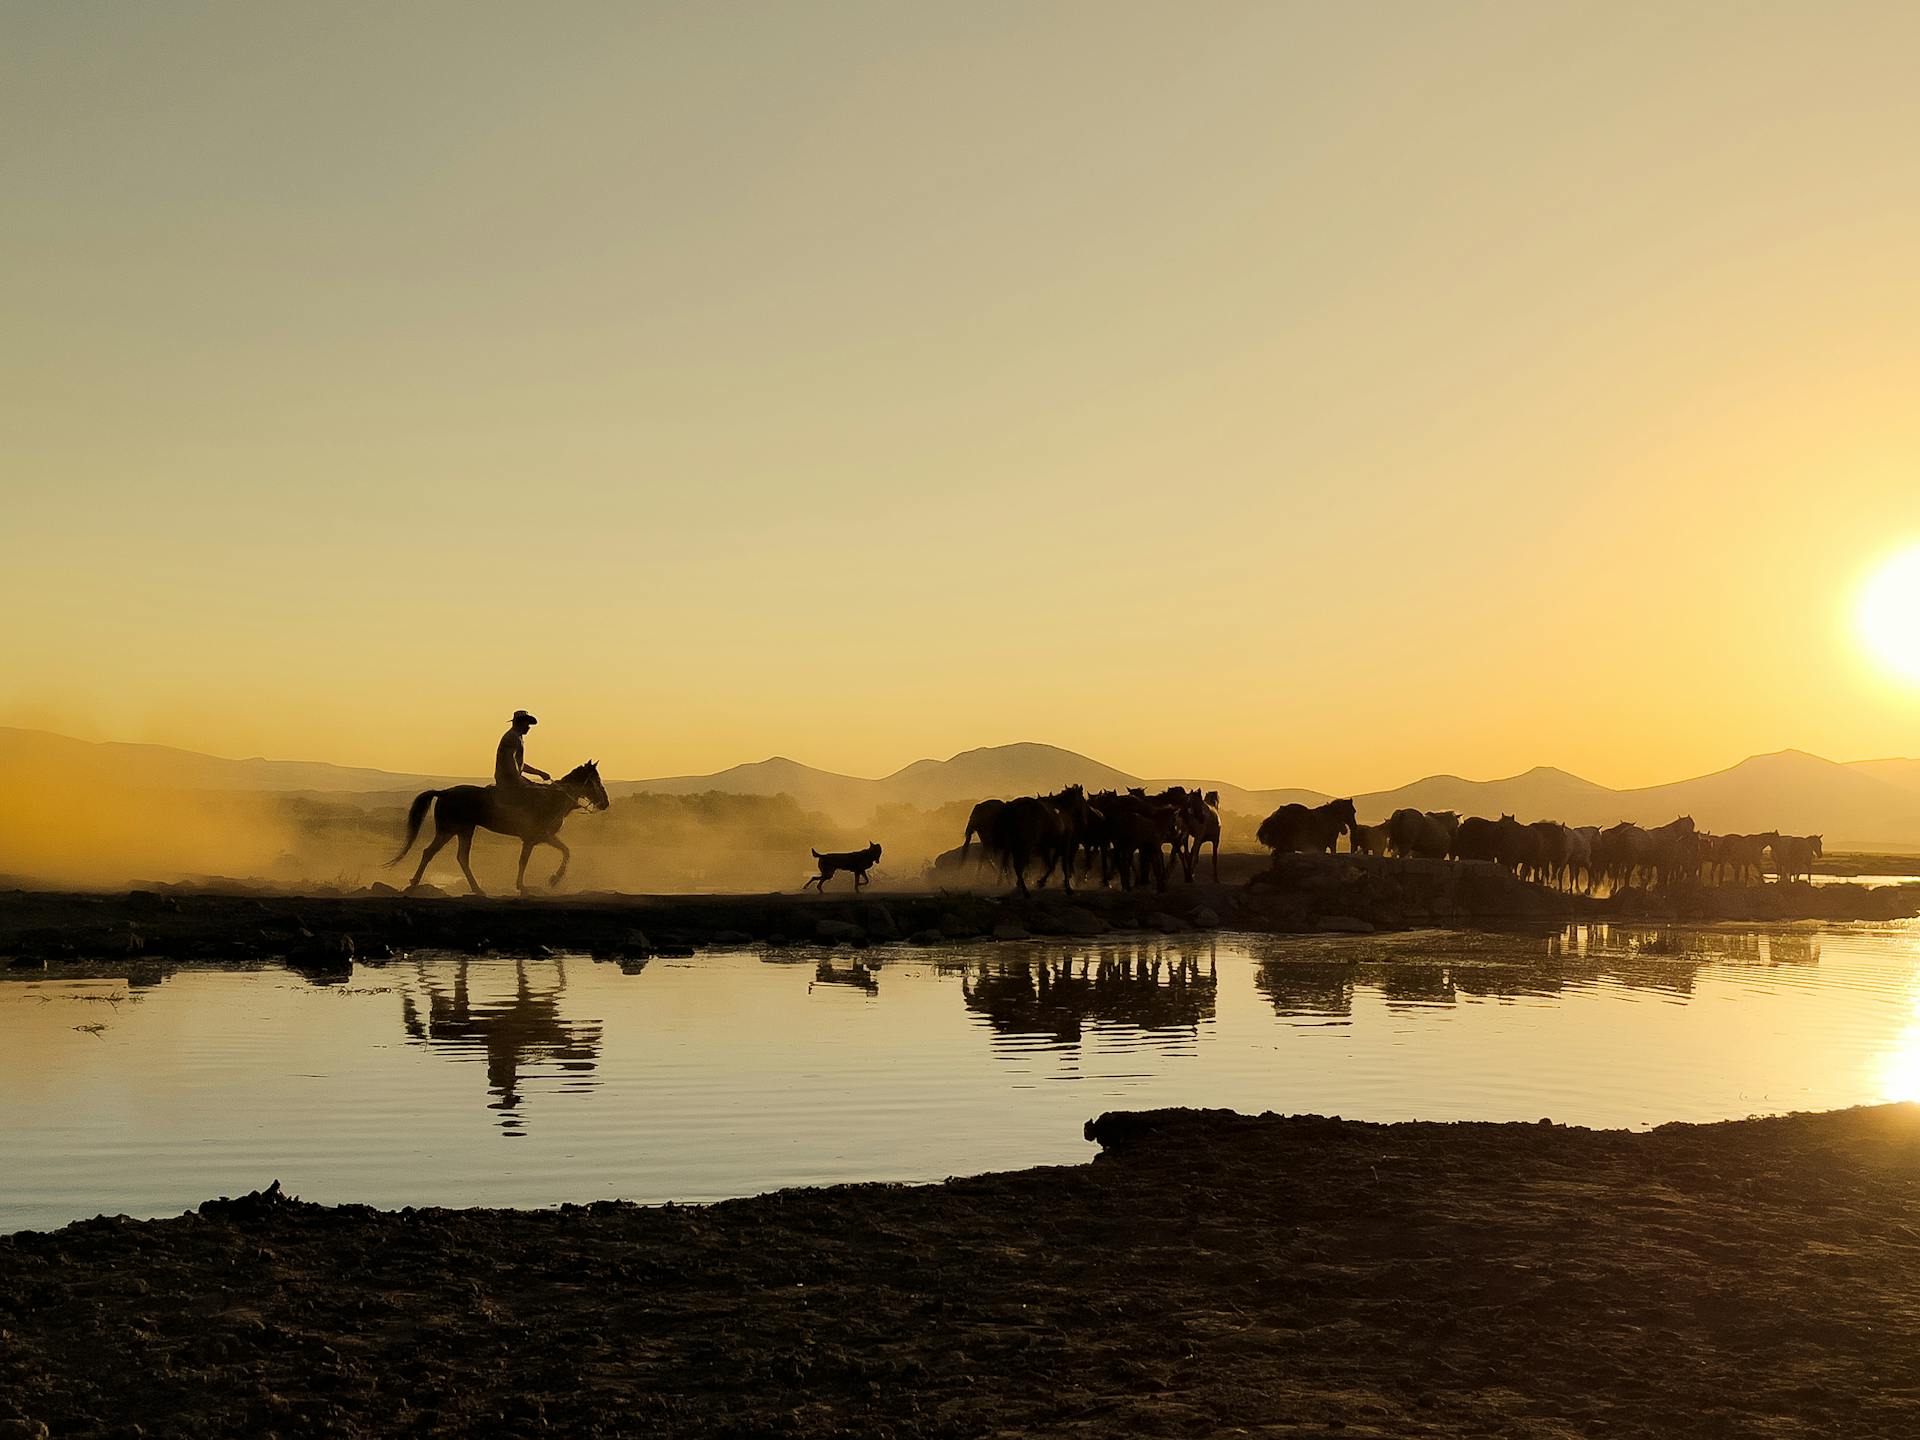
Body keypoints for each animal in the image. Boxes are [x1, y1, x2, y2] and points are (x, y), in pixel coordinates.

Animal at [384, 760, 606, 898]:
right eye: (596, 780)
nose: (605, 803)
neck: (552, 799)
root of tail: (444, 792)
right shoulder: (535, 837)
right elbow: (532, 859)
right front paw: (544, 882)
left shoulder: (541, 837)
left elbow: (564, 851)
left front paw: (547, 881)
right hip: (452, 830)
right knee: (439, 854)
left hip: (461, 830)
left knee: (449, 855)